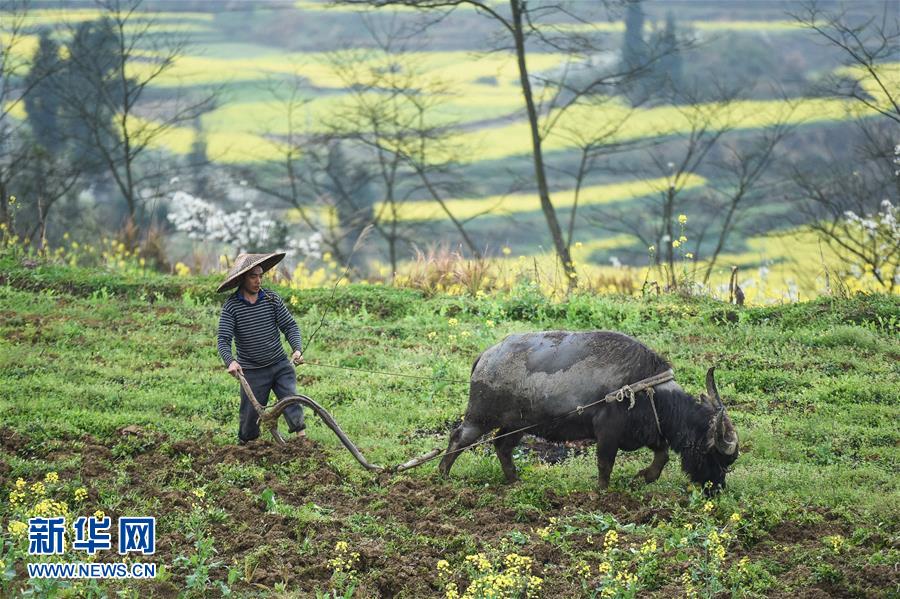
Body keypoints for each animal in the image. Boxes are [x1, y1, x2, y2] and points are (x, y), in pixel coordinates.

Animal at [438, 332, 740, 492]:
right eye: (714, 455)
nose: (717, 488)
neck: (646, 390)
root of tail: (486, 356)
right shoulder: (607, 433)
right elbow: (605, 464)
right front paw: (602, 491)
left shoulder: (650, 431)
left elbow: (662, 456)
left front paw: (643, 476)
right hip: (480, 417)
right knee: (458, 438)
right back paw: (443, 476)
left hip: (517, 426)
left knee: (501, 446)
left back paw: (514, 480)